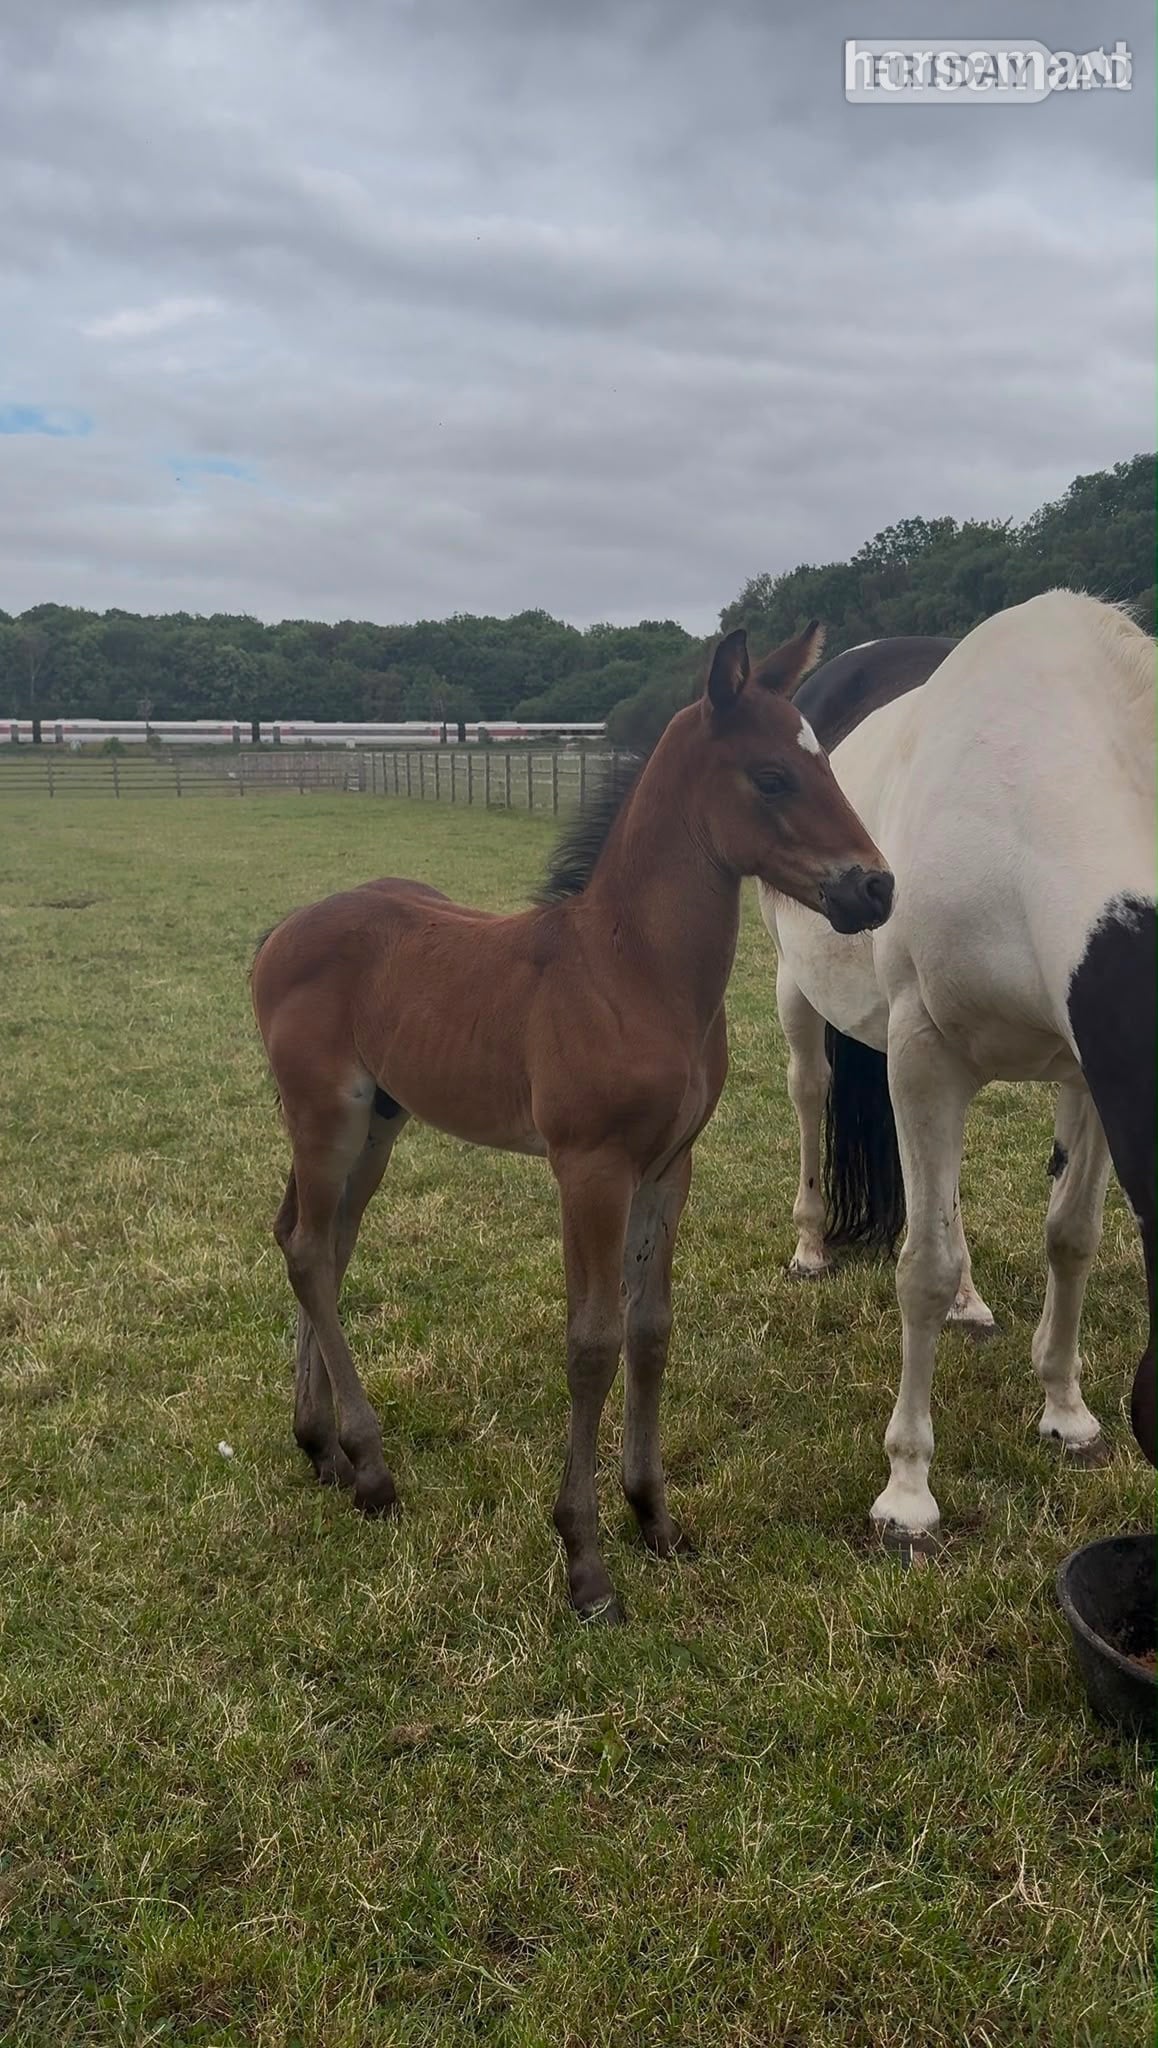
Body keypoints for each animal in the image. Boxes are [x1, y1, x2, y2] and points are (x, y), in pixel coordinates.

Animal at [251, 621, 896, 1622]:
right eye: (771, 777)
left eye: (822, 762)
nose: (875, 889)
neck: (631, 971)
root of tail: (279, 934)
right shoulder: (589, 1168)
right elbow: (592, 1342)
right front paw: (586, 1562)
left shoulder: (669, 1166)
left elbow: (651, 1327)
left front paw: (654, 1517)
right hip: (328, 1118)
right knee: (313, 1253)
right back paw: (371, 1468)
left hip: (378, 1127)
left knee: (315, 1243)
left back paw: (322, 1447)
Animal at [761, 591, 1156, 1537]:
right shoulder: (924, 1056)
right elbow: (922, 1269)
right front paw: (907, 1491)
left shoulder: (1088, 1078)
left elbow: (1071, 1238)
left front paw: (1066, 1413)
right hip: (801, 992)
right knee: (810, 1093)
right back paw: (811, 1247)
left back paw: (976, 1305)